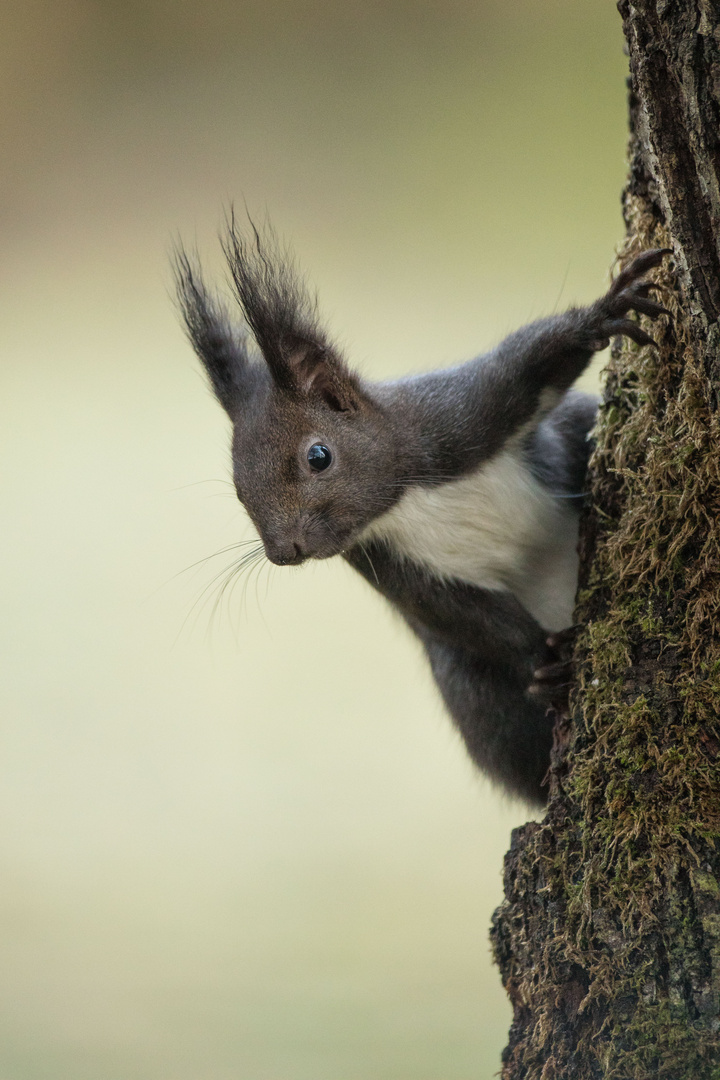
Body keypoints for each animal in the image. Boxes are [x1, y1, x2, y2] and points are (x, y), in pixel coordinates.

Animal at [174, 219, 669, 807]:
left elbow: (529, 366)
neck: (402, 500)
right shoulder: (386, 561)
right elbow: (462, 614)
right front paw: (541, 664)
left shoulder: (454, 419)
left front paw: (605, 310)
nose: (283, 552)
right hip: (476, 696)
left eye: (318, 456)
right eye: (238, 489)